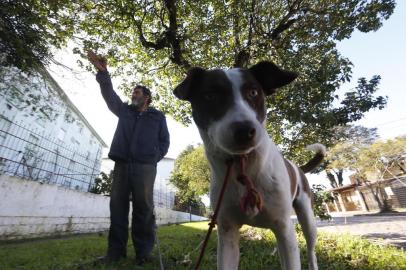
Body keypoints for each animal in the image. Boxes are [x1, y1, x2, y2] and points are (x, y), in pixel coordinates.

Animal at [174, 61, 324, 270]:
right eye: (210, 96)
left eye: (253, 92)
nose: (245, 131)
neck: (243, 165)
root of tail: (298, 168)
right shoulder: (227, 231)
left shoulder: (284, 227)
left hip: (307, 218)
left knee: (310, 249)